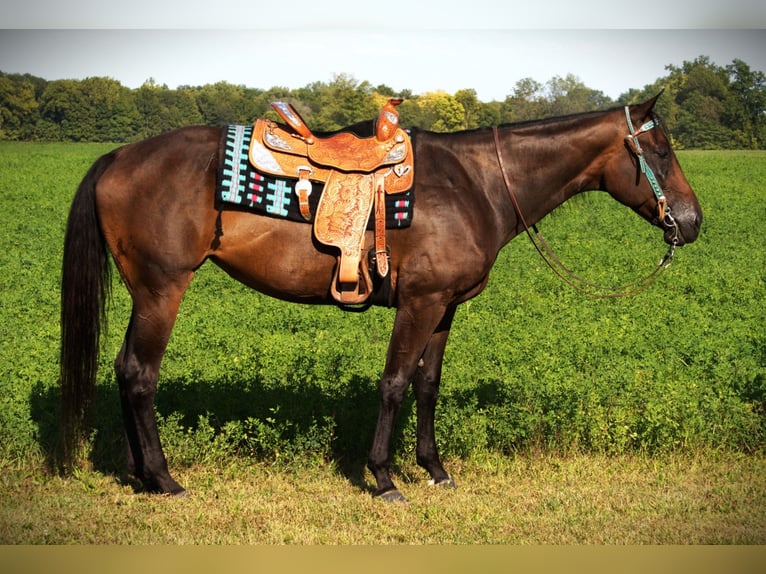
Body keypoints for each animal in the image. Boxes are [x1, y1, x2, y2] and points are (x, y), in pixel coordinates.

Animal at [60, 94, 702, 502]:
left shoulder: (445, 307)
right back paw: (164, 479)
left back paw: (140, 476)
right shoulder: (420, 303)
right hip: (162, 290)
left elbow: (427, 385)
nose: (693, 222)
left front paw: (435, 469)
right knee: (140, 373)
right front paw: (385, 478)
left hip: (147, 292)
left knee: (124, 369)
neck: (478, 184)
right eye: (661, 152)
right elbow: (394, 383)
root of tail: (117, 156)